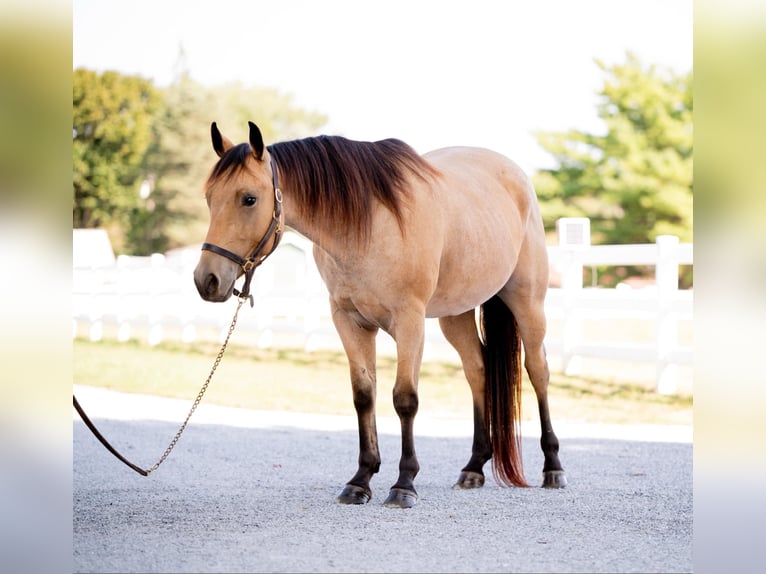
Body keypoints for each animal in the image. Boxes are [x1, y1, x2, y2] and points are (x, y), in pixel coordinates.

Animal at [195, 121, 568, 508]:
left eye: (249, 198)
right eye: (209, 197)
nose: (207, 280)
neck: (370, 224)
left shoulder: (409, 322)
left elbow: (405, 399)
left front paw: (404, 483)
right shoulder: (349, 321)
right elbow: (364, 395)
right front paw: (361, 479)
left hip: (527, 302)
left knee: (538, 371)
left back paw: (552, 467)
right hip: (456, 315)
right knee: (477, 371)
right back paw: (474, 467)